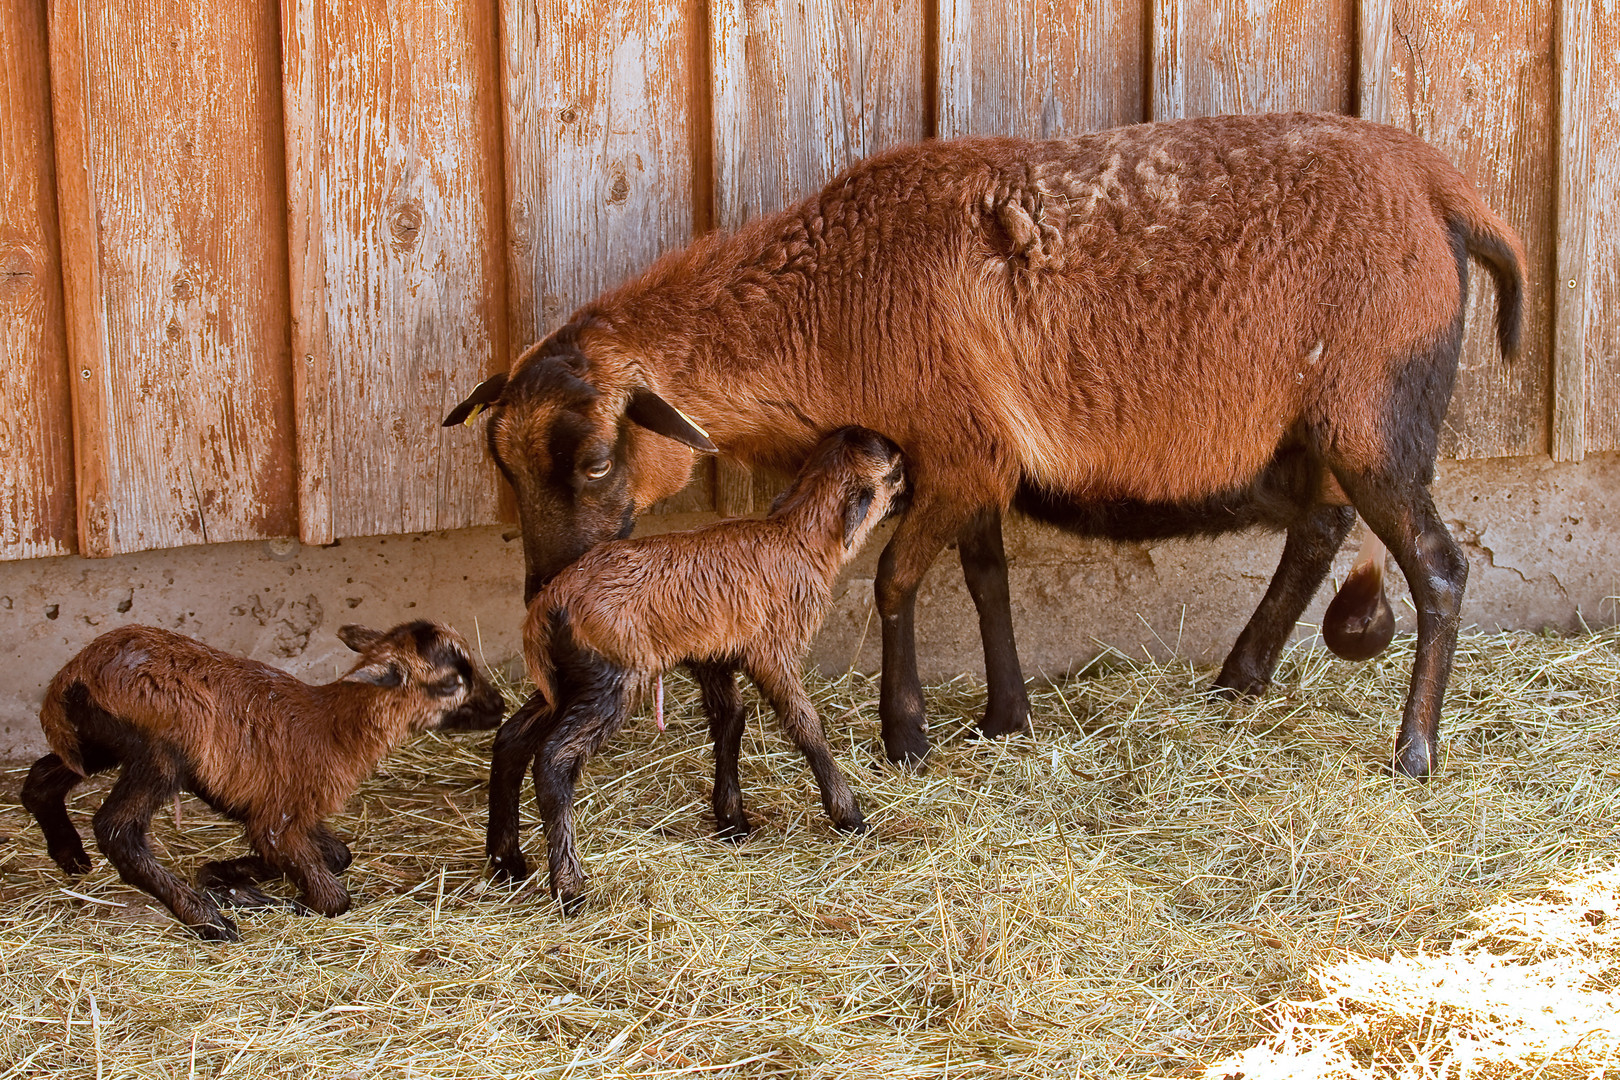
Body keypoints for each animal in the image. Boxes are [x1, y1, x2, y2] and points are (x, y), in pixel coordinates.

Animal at [22, 621, 502, 939]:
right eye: (451, 683)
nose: (498, 706)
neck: (333, 727)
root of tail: (74, 674)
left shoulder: (286, 812)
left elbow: (338, 854)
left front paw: (223, 875)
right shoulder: (278, 818)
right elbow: (332, 897)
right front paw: (245, 895)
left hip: (98, 740)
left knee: (42, 778)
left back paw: (70, 856)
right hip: (160, 750)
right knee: (117, 829)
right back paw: (209, 922)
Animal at [443, 114, 1516, 780]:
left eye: (593, 462)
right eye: (500, 464)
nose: (547, 595)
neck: (824, 305)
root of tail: (1445, 187)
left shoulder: (957, 454)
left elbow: (895, 581)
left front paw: (906, 733)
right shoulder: (979, 459)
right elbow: (988, 578)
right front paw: (1006, 718)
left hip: (1373, 413)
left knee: (1438, 566)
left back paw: (1414, 752)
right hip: (1327, 429)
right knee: (1322, 532)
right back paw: (1239, 679)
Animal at [486, 427, 907, 906]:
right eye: (896, 472)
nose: (913, 491)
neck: (797, 537)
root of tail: (549, 604)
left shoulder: (713, 655)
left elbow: (730, 720)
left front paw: (732, 822)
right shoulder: (772, 650)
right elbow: (805, 725)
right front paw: (850, 816)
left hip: (567, 678)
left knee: (512, 738)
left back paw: (506, 862)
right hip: (612, 676)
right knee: (554, 759)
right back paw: (569, 887)